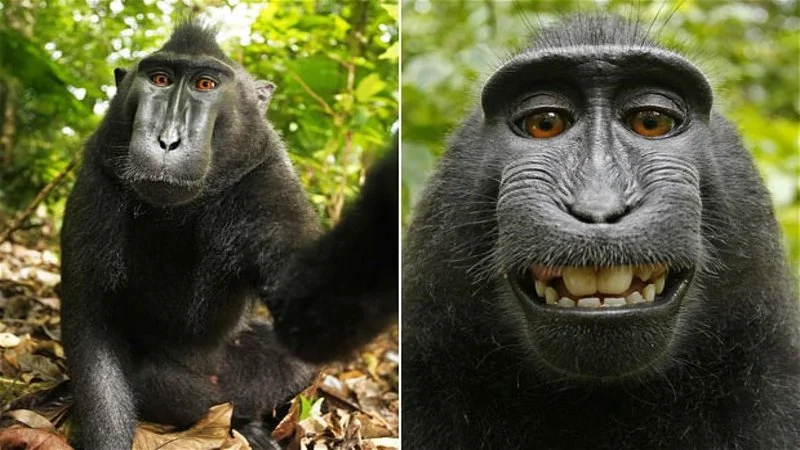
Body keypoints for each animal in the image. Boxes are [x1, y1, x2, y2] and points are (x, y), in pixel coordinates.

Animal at [59, 23, 397, 450]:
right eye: (160, 79)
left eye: (205, 84)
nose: (168, 141)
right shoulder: (97, 179)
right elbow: (91, 327)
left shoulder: (267, 179)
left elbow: (311, 316)